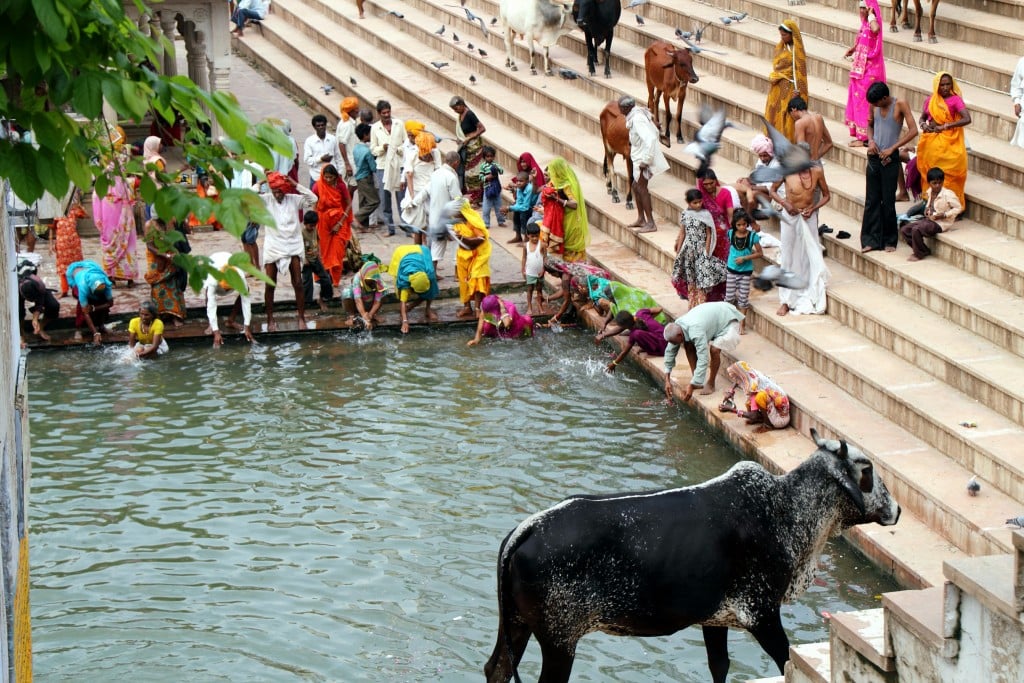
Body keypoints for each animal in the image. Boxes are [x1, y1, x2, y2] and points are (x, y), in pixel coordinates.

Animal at [483, 430, 901, 679]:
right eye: (867, 469)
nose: (896, 509)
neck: (787, 509)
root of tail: (526, 529)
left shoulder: (715, 620)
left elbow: (720, 667)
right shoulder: (762, 613)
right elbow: (785, 661)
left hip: (516, 626)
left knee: (495, 669)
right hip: (559, 642)